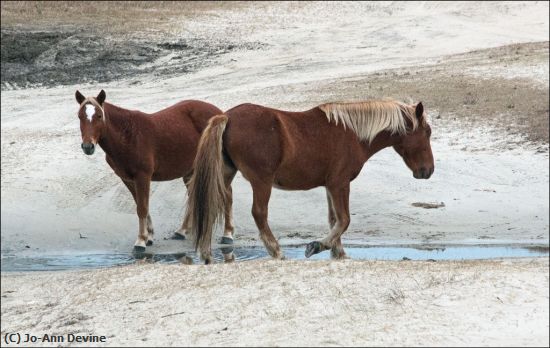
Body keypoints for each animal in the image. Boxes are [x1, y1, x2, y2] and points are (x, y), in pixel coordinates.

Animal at [74, 89, 236, 251]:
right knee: (193, 195)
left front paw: (141, 241)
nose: (88, 147)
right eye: (80, 116)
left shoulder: (143, 177)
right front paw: (149, 236)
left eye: (99, 116)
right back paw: (182, 231)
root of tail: (221, 114)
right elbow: (140, 205)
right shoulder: (128, 179)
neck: (128, 135)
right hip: (191, 170)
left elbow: (142, 208)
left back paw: (227, 234)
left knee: (227, 194)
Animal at [185, 99, 436, 262]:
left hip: (226, 176)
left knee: (211, 205)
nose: (428, 170)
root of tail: (227, 117)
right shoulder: (340, 184)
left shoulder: (329, 187)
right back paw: (276, 251)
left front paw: (337, 252)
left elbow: (334, 219)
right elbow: (344, 220)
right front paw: (318, 246)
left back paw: (206, 253)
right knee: (259, 214)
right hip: (261, 182)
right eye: (428, 132)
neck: (353, 133)